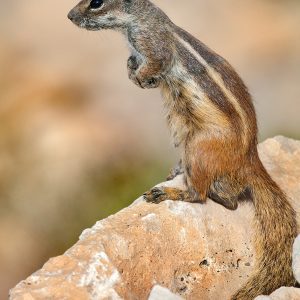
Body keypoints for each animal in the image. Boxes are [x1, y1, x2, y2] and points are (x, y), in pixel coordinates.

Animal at [68, 1, 298, 298]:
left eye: (96, 3)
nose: (69, 16)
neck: (140, 21)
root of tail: (249, 159)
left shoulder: (154, 46)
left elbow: (155, 64)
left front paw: (138, 75)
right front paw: (132, 70)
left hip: (197, 150)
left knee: (199, 195)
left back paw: (169, 192)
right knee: (231, 201)